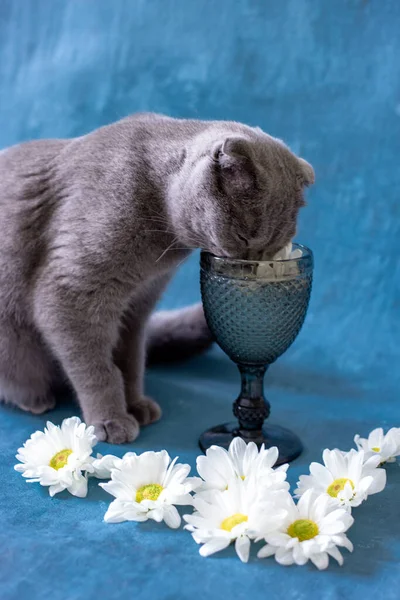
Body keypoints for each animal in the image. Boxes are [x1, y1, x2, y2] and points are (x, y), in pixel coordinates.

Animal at [0, 113, 312, 440]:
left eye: (275, 246)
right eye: (244, 238)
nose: (252, 266)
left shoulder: (138, 304)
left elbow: (131, 359)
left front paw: (136, 404)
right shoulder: (71, 293)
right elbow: (98, 368)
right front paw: (111, 419)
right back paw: (34, 399)